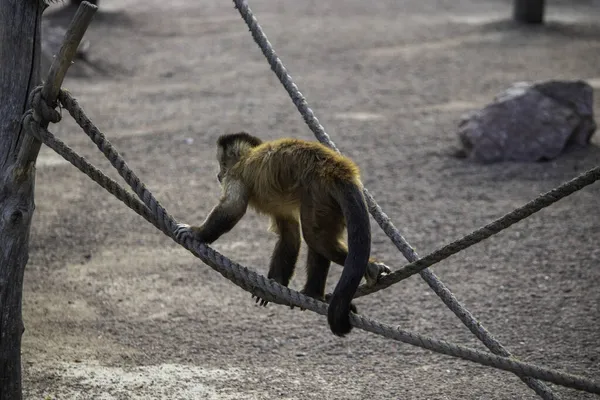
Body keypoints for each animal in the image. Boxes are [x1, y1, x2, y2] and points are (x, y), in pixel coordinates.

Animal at [175, 133, 390, 336]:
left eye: (222, 164)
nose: (219, 174)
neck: (249, 154)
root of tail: (338, 168)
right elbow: (290, 235)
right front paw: (276, 282)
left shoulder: (237, 173)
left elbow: (232, 208)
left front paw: (196, 233)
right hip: (329, 202)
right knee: (315, 237)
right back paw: (313, 293)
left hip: (318, 191)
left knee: (315, 237)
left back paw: (370, 268)